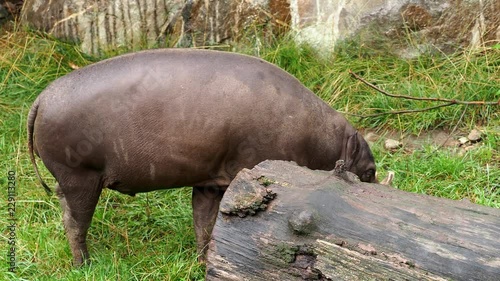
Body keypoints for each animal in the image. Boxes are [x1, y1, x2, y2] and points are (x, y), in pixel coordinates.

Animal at [27, 48, 376, 264]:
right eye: (371, 171)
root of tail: (40, 99)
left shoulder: (209, 181)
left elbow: (204, 224)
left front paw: (202, 261)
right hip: (80, 178)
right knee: (75, 225)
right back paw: (85, 265)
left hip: (69, 182)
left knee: (67, 219)